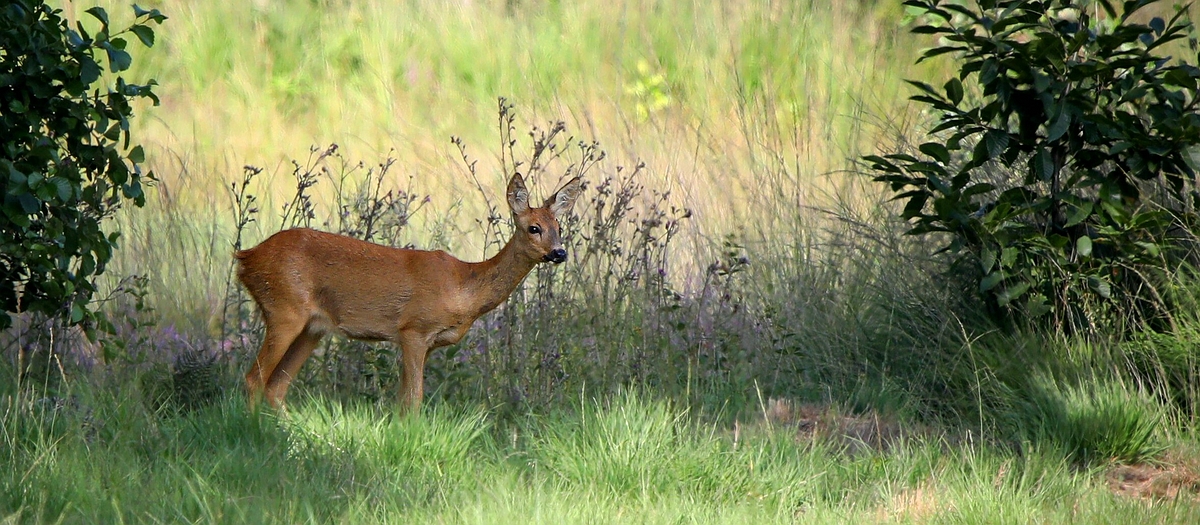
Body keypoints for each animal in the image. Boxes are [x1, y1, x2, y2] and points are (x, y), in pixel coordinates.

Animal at [232, 173, 580, 412]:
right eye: (533, 228)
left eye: (560, 228)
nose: (559, 253)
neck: (464, 286)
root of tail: (246, 257)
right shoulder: (414, 329)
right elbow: (413, 399)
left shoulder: (425, 342)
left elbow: (403, 399)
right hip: (284, 308)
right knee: (254, 378)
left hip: (312, 328)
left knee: (276, 387)